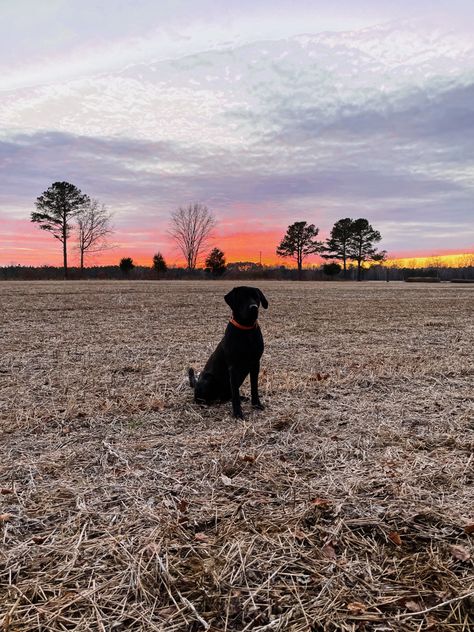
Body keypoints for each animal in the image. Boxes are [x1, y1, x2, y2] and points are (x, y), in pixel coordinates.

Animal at [191, 288, 268, 420]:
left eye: (256, 297)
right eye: (242, 298)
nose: (253, 307)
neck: (246, 330)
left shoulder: (255, 364)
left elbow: (254, 387)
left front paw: (256, 405)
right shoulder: (234, 367)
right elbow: (235, 394)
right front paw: (238, 413)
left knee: (228, 395)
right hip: (208, 379)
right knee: (200, 398)